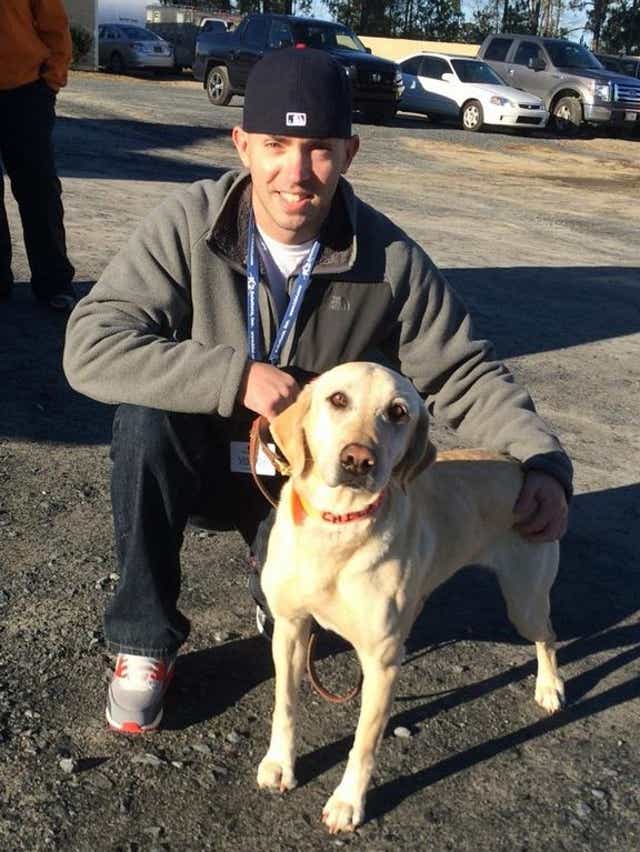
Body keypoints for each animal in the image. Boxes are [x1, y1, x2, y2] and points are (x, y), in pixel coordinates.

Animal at [258, 362, 564, 832]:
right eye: (338, 399)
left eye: (398, 412)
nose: (358, 459)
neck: (338, 526)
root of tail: (522, 469)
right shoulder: (290, 629)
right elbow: (285, 705)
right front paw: (279, 763)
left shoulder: (382, 662)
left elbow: (365, 742)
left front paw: (348, 802)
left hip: (524, 601)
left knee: (547, 636)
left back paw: (549, 687)